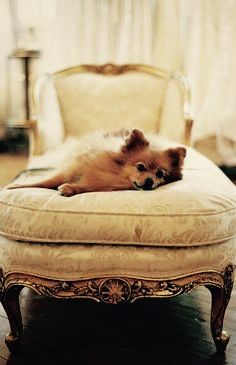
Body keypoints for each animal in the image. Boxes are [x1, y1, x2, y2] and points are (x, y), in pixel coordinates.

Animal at [6, 129, 186, 196]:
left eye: (160, 174)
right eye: (140, 167)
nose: (150, 181)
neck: (115, 174)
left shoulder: (99, 184)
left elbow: (84, 186)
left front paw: (69, 188)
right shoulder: (73, 168)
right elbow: (47, 181)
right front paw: (16, 186)